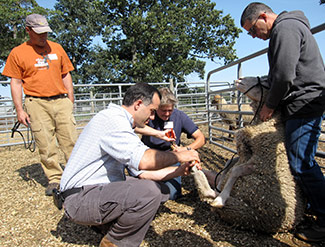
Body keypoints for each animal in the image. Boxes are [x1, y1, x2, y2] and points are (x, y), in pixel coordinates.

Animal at [192, 76, 306, 233]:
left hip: (243, 211)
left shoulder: (261, 162)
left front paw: (222, 196)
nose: (239, 79)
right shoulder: (244, 154)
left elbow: (235, 170)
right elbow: (229, 164)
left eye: (266, 82)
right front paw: (221, 182)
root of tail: (288, 224)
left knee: (211, 195)